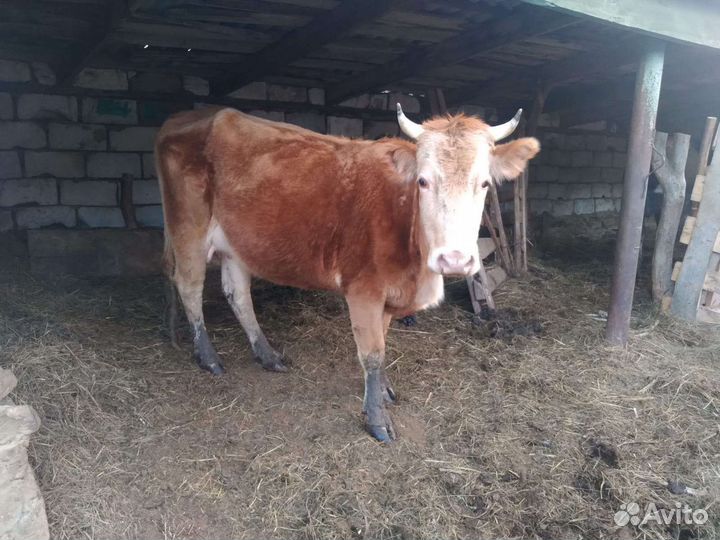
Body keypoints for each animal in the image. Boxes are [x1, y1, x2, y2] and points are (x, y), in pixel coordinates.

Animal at [156, 104, 539, 442]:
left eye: (485, 183)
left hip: (237, 243)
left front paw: (383, 391)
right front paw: (377, 420)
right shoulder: (364, 290)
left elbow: (383, 344)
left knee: (238, 295)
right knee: (189, 287)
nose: (455, 260)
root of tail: (195, 115)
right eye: (423, 181)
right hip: (188, 228)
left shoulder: (388, 293)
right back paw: (208, 358)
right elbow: (372, 354)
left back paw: (267, 355)